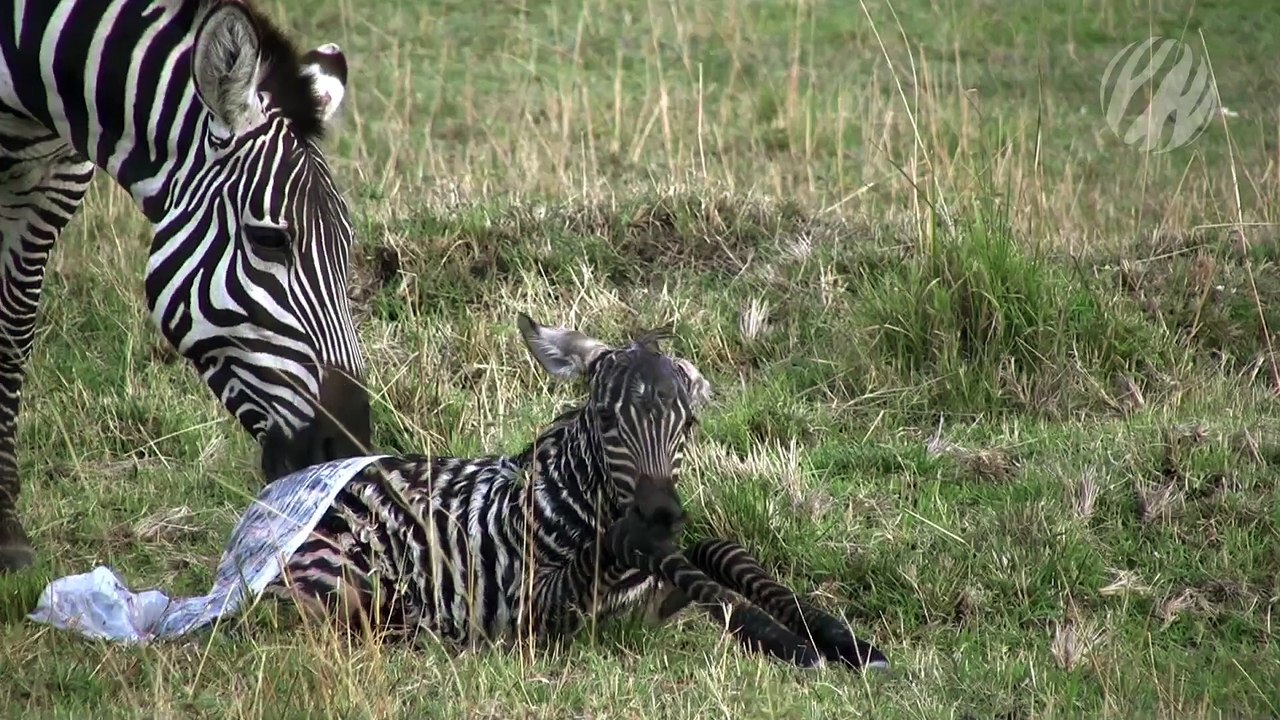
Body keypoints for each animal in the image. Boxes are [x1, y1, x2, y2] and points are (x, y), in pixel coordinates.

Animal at [264, 313, 887, 669]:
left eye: (688, 424)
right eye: (607, 420)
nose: (661, 513)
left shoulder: (655, 602)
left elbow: (719, 554)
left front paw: (840, 640)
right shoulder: (535, 607)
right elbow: (643, 552)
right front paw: (792, 645)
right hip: (351, 588)